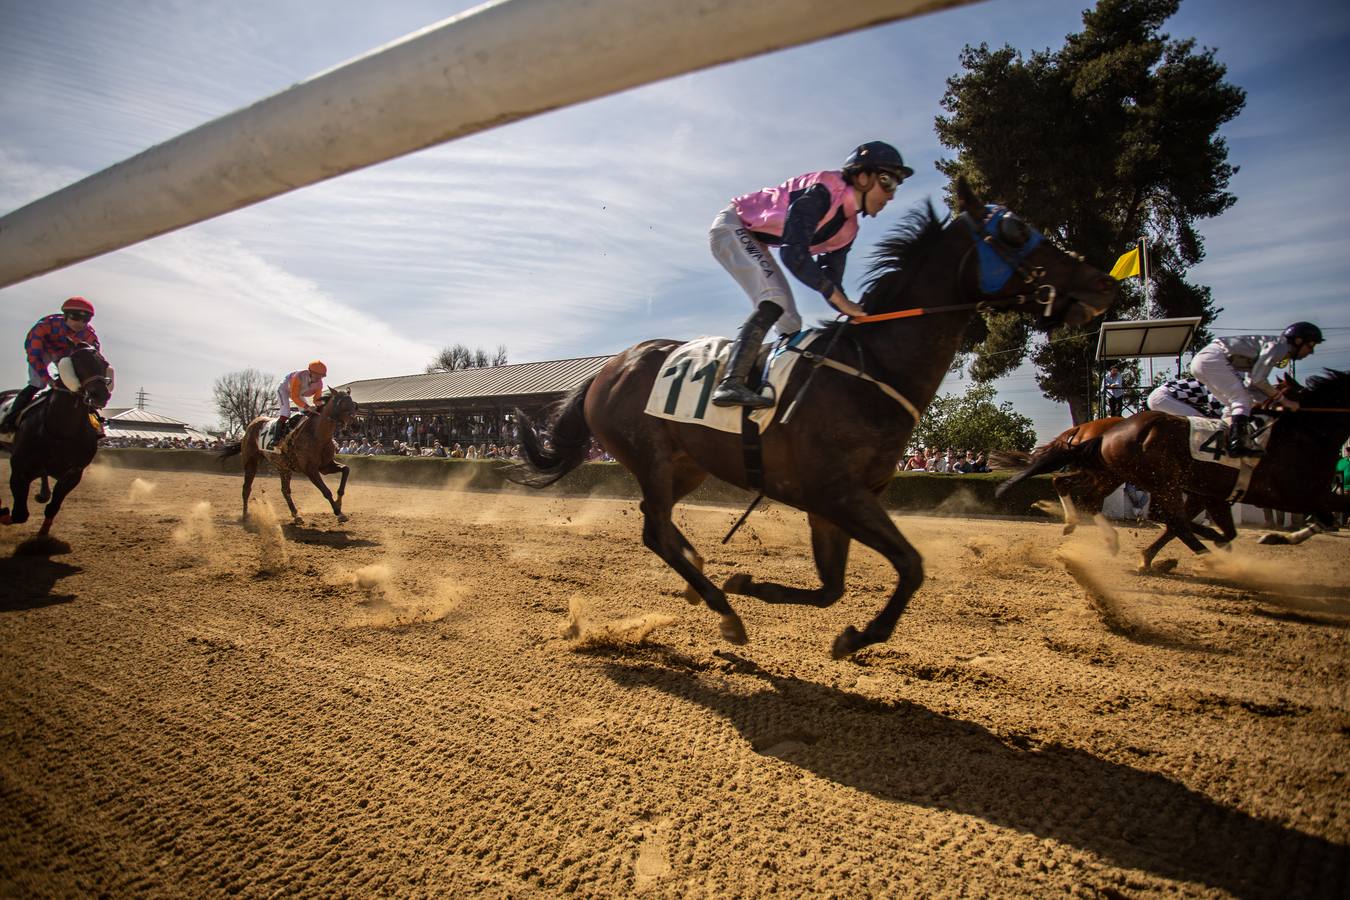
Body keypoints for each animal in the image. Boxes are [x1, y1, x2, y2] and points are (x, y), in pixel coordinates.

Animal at [0, 342, 114, 542]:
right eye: (78, 361)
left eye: (104, 363)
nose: (100, 394)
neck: (61, 429)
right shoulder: (20, 469)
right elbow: (19, 514)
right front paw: (3, 513)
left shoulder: (74, 473)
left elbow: (52, 507)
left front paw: (43, 533)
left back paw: (43, 494)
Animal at [221, 391, 359, 523]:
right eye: (341, 403)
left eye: (353, 404)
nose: (355, 425)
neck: (317, 436)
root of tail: (250, 427)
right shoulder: (310, 470)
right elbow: (326, 491)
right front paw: (339, 512)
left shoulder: (325, 466)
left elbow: (346, 470)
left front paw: (339, 503)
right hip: (251, 462)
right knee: (246, 488)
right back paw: (245, 515)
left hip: (283, 467)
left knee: (285, 490)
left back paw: (296, 515)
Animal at [502, 179, 1112, 658]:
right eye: (1014, 230)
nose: (1103, 283)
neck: (871, 367)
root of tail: (609, 366)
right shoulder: (836, 492)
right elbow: (911, 565)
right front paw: (855, 635)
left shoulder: (836, 501)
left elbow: (831, 589)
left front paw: (754, 584)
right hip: (649, 453)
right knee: (654, 529)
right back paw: (722, 609)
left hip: (687, 463)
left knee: (663, 525)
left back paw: (705, 583)